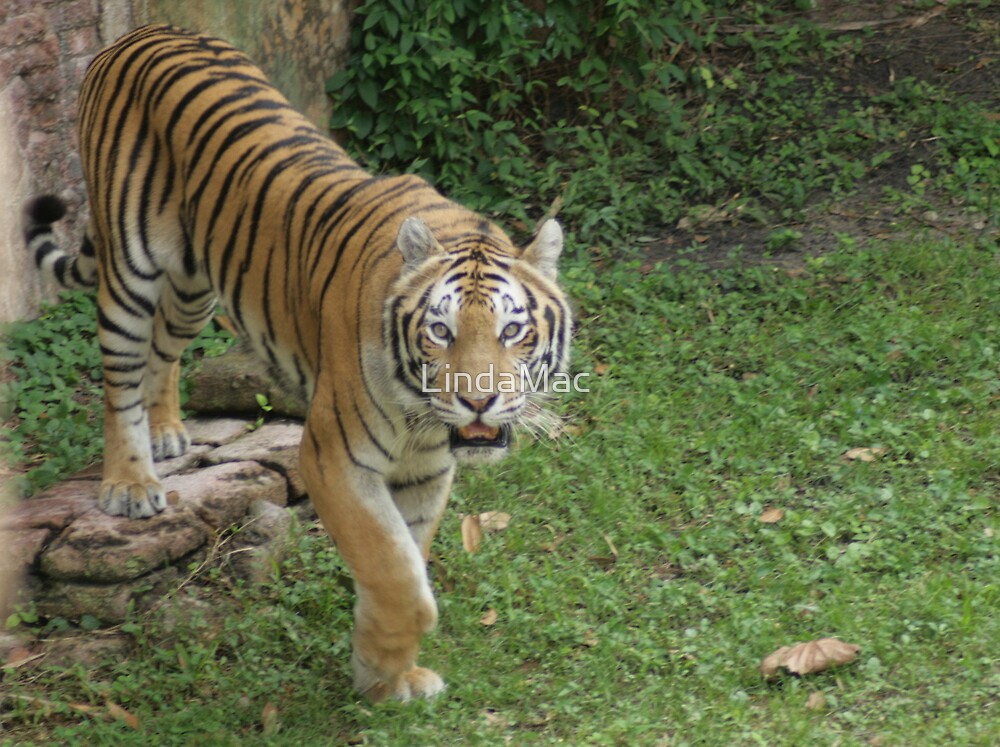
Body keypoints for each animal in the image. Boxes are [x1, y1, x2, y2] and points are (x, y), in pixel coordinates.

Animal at [23, 21, 572, 700]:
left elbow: (407, 559)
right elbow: (396, 573)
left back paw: (167, 432)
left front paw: (384, 671)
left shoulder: (425, 470)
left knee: (163, 352)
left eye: (512, 330)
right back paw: (131, 483)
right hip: (130, 268)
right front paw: (384, 671)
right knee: (119, 374)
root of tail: (139, 31)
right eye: (440, 331)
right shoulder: (334, 457)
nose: (477, 401)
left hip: (195, 291)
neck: (423, 422)